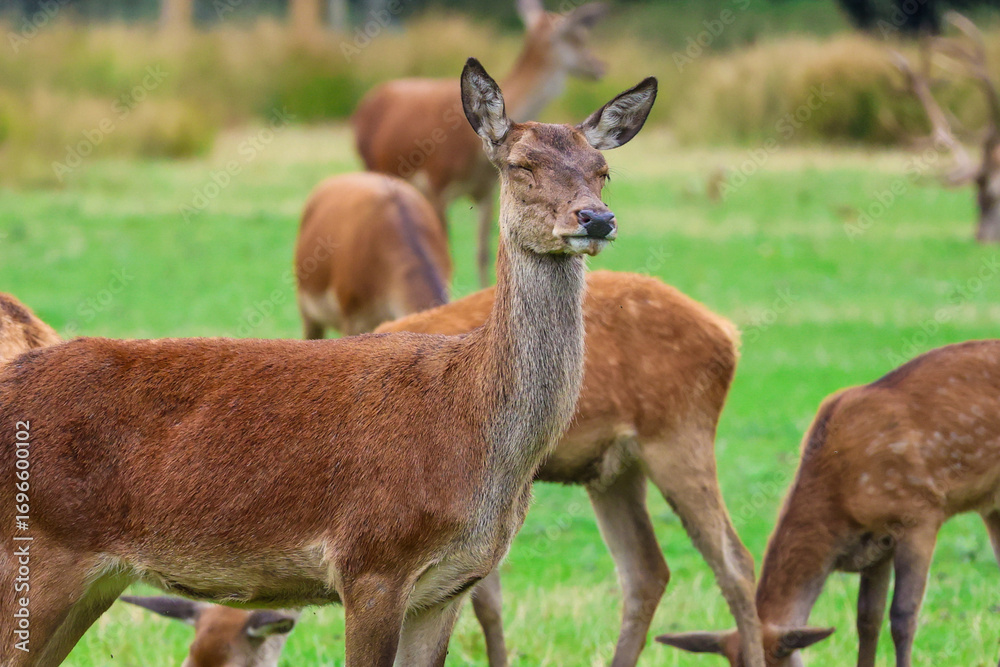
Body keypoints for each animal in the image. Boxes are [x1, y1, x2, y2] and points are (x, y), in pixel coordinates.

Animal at [352, 0, 608, 287]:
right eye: (576, 37)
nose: (599, 66)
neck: (471, 156)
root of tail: (363, 106)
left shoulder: (485, 189)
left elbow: (483, 252)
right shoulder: (437, 181)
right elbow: (447, 255)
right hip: (371, 164)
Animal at [375, 270, 767, 667]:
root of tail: (727, 335)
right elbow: (485, 600)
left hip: (679, 436)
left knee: (735, 562)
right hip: (618, 472)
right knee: (646, 570)